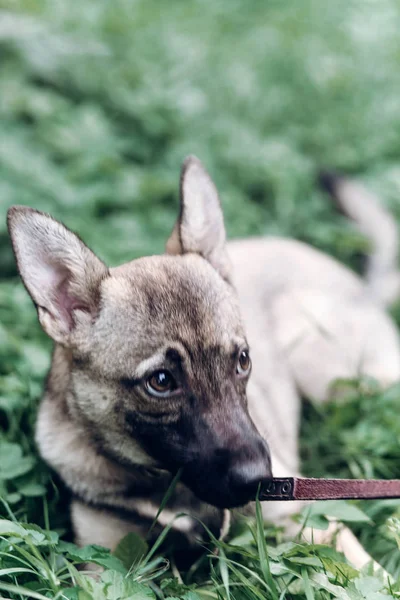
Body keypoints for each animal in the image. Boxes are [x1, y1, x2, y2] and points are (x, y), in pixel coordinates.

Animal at [7, 155, 400, 568]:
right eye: (161, 381)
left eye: (242, 360)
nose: (259, 481)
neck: (170, 484)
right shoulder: (105, 556)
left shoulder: (306, 519)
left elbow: (369, 571)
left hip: (333, 376)